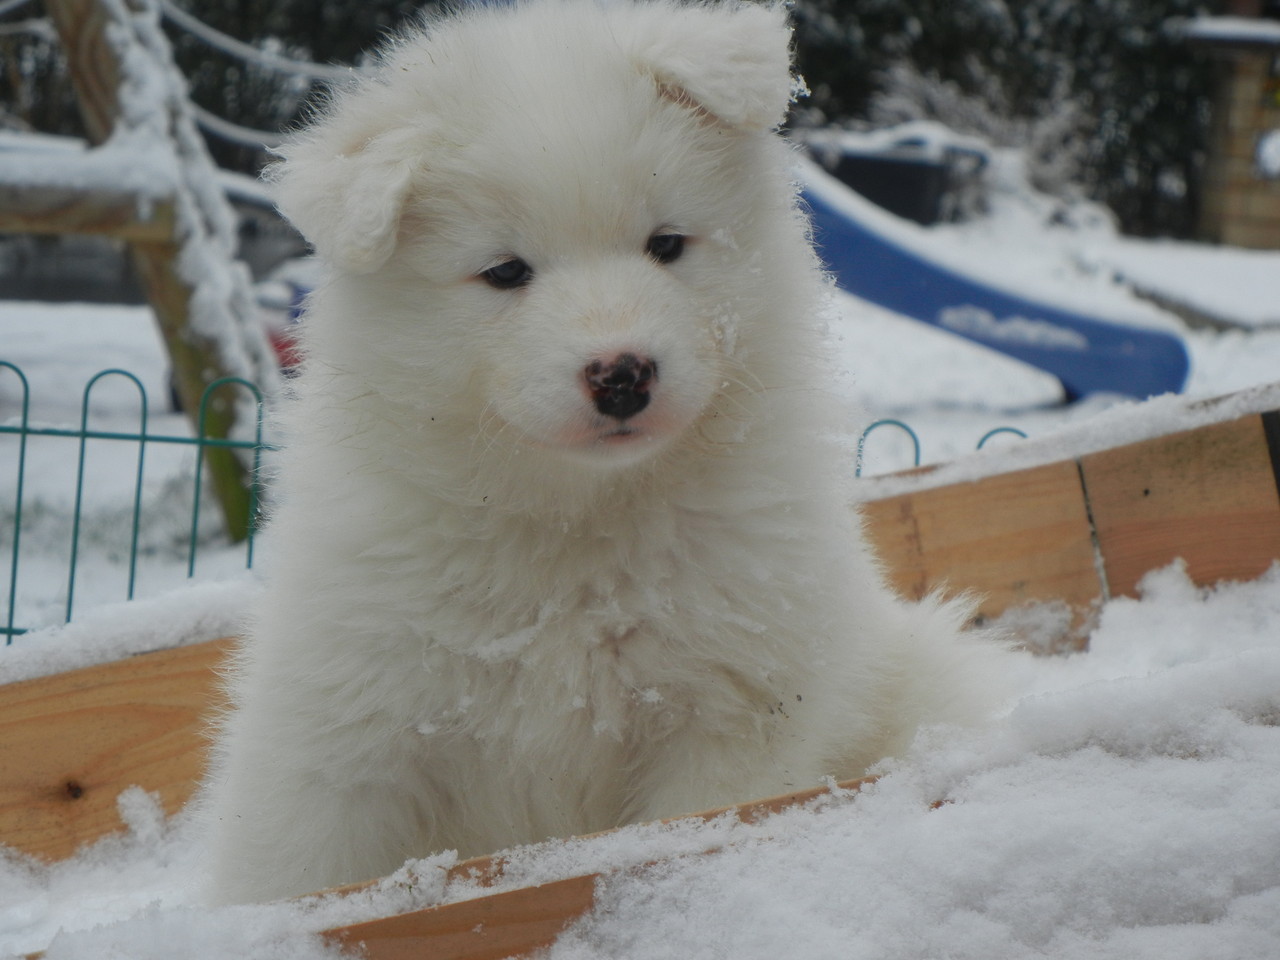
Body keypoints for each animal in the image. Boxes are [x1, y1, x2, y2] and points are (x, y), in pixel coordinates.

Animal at [204, 0, 1008, 906]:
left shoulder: (730, 715)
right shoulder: (346, 731)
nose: (621, 374)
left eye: (666, 244)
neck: (571, 523)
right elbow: (298, 867)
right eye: (505, 272)